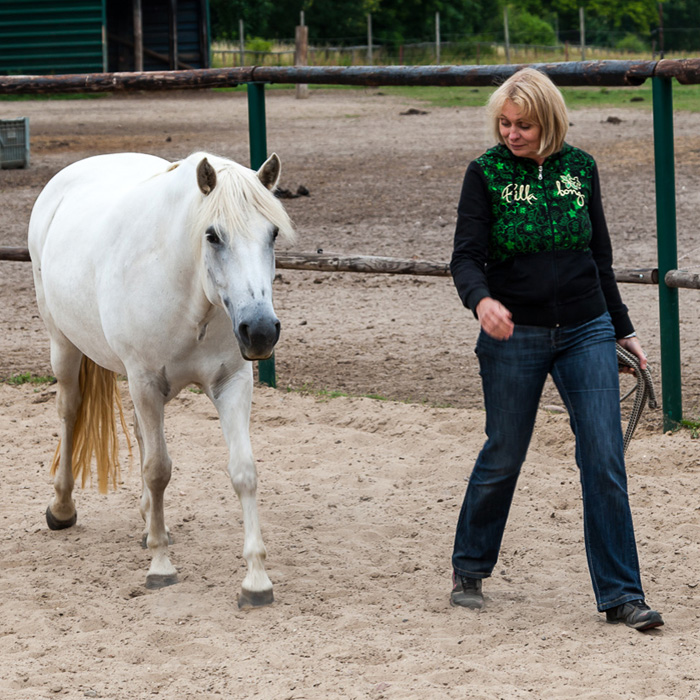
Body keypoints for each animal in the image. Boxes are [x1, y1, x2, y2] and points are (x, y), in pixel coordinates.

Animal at [28, 150, 295, 608]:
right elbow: (157, 470)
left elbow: (243, 470)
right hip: (63, 345)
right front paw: (161, 567)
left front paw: (256, 580)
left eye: (273, 233)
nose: (260, 331)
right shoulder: (145, 382)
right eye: (213, 235)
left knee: (137, 433)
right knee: (69, 411)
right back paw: (62, 509)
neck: (190, 297)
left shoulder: (231, 383)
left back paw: (151, 523)